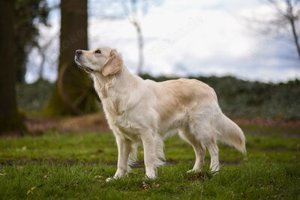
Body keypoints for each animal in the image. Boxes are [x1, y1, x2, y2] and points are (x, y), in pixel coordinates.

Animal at [75, 47, 246, 181]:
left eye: (97, 51)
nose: (77, 52)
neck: (116, 90)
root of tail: (210, 89)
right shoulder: (122, 137)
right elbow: (121, 161)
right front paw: (116, 178)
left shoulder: (147, 133)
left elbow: (148, 158)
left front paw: (149, 177)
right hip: (187, 132)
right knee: (200, 151)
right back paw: (194, 171)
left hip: (202, 128)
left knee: (214, 149)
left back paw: (214, 171)